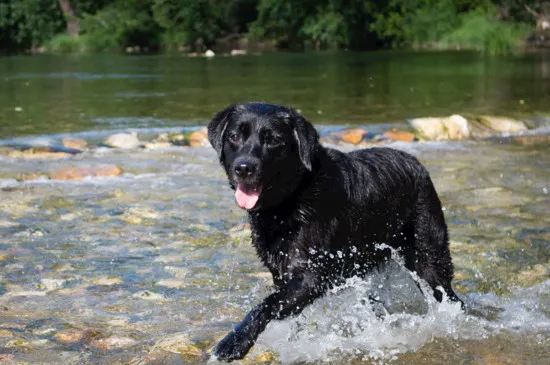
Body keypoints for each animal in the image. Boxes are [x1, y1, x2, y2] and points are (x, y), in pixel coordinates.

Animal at [209, 101, 464, 360]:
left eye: (273, 140)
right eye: (234, 137)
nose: (244, 168)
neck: (292, 197)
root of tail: (417, 164)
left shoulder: (312, 275)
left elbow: (266, 305)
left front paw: (234, 341)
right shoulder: (282, 273)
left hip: (429, 257)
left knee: (449, 295)